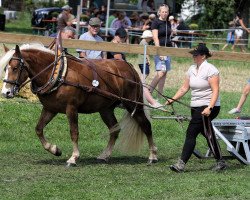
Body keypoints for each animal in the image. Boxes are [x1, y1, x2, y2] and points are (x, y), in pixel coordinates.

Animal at [0, 44, 156, 166]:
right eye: (6, 68)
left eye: (15, 68)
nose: (6, 92)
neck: (58, 73)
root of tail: (129, 67)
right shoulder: (50, 109)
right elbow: (38, 129)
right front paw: (54, 149)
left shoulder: (71, 108)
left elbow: (74, 132)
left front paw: (73, 158)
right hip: (105, 109)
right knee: (114, 130)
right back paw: (104, 155)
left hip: (132, 105)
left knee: (146, 126)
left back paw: (152, 156)